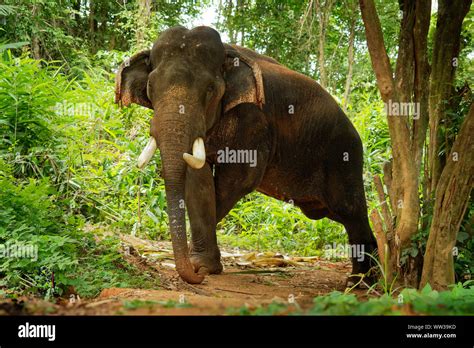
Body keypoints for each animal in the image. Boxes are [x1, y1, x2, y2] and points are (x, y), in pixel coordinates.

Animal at [115, 25, 378, 286]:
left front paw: (201, 265)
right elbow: (198, 180)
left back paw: (362, 282)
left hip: (344, 156)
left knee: (351, 211)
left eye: (210, 89)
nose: (196, 277)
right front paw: (203, 266)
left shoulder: (255, 120)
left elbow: (239, 179)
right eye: (150, 87)